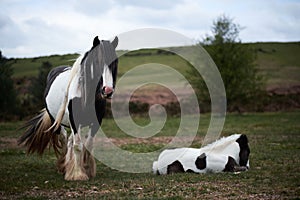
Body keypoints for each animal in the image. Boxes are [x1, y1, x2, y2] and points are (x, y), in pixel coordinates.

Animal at [17, 36, 119, 181]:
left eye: (115, 62)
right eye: (97, 61)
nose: (107, 90)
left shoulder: (96, 121)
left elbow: (88, 144)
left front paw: (86, 168)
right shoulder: (74, 121)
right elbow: (77, 145)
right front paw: (78, 174)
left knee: (70, 140)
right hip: (57, 122)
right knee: (64, 139)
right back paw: (64, 166)